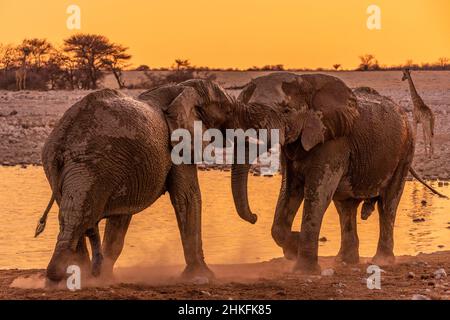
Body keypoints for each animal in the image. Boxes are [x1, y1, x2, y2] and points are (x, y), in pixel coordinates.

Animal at [234, 72, 438, 272]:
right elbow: (290, 190)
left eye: (286, 111)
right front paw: (294, 246)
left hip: (405, 150)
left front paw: (304, 269)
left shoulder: (334, 140)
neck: (305, 81)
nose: (254, 217)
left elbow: (318, 194)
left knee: (388, 203)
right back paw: (344, 261)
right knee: (345, 207)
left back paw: (382, 261)